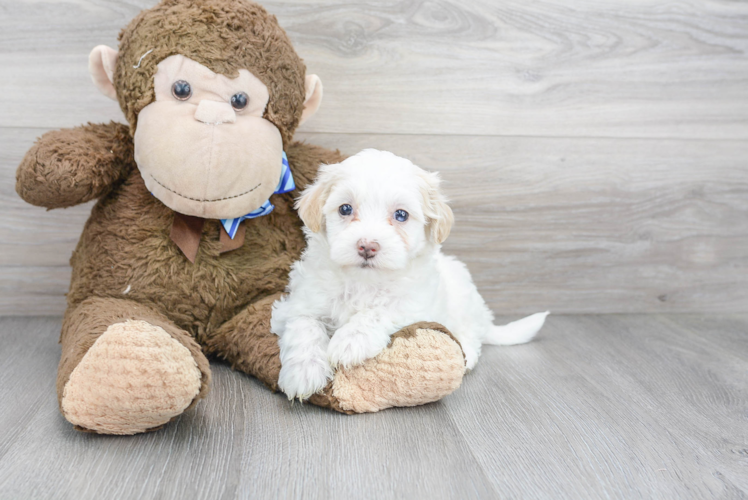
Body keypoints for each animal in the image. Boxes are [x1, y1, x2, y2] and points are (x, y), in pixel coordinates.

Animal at [270, 150, 548, 400]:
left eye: (401, 215)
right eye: (345, 209)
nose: (367, 246)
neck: (363, 282)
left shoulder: (414, 304)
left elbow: (380, 311)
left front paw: (350, 341)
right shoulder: (298, 303)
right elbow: (304, 325)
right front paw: (304, 373)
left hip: (463, 302)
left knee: (470, 336)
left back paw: (467, 354)